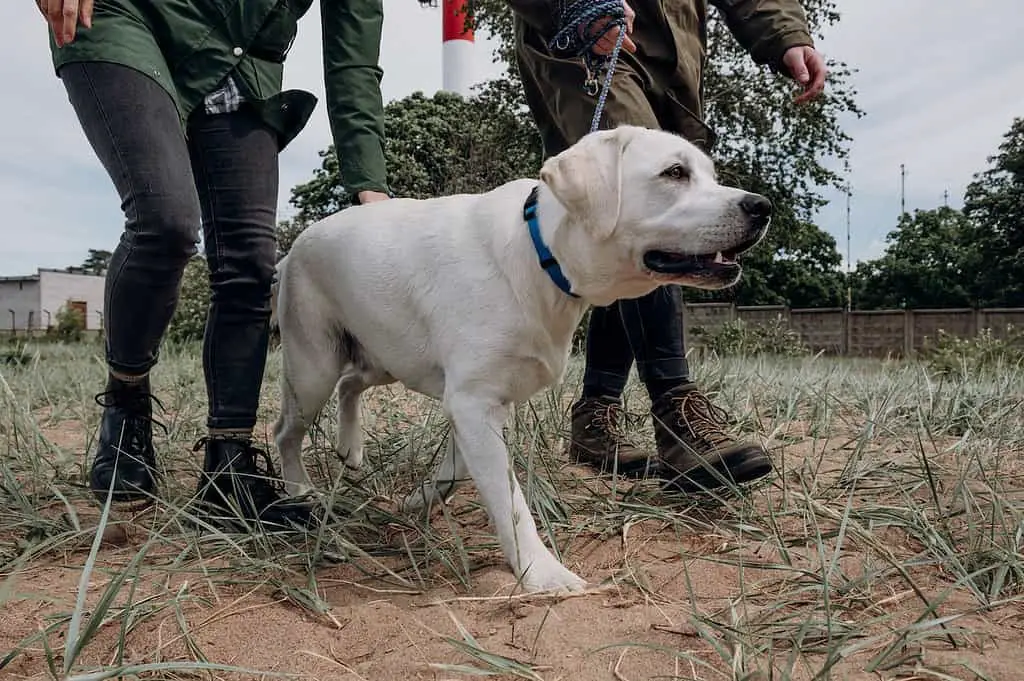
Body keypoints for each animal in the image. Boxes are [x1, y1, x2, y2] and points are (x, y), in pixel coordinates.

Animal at [268, 124, 770, 593]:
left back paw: (349, 448)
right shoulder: (473, 401)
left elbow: (457, 471)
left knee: (351, 384)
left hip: (384, 358)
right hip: (314, 367)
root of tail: (294, 248)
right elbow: (510, 503)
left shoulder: (480, 403)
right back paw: (300, 492)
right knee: (286, 431)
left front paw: (420, 500)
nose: (762, 206)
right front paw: (542, 573)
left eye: (710, 175)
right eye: (675, 172)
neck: (541, 253)